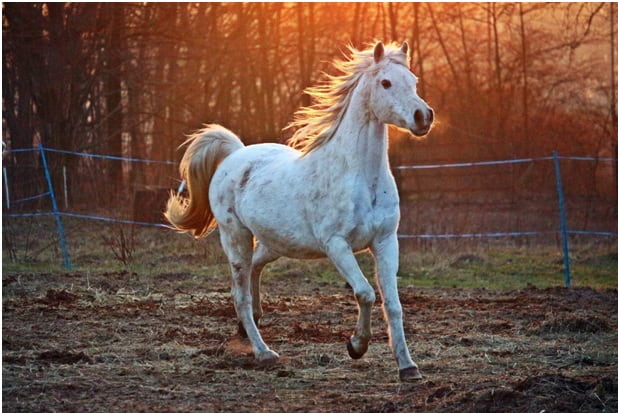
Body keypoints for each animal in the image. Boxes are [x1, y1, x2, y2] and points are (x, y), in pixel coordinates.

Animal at [165, 41, 434, 380]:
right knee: (240, 294)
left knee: (254, 269)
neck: (360, 176)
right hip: (236, 238)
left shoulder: (386, 241)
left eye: (413, 81)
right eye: (385, 83)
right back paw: (264, 352)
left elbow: (394, 305)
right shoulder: (337, 245)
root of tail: (235, 154)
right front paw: (356, 346)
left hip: (275, 243)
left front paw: (408, 367)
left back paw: (249, 325)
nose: (423, 117)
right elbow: (365, 293)